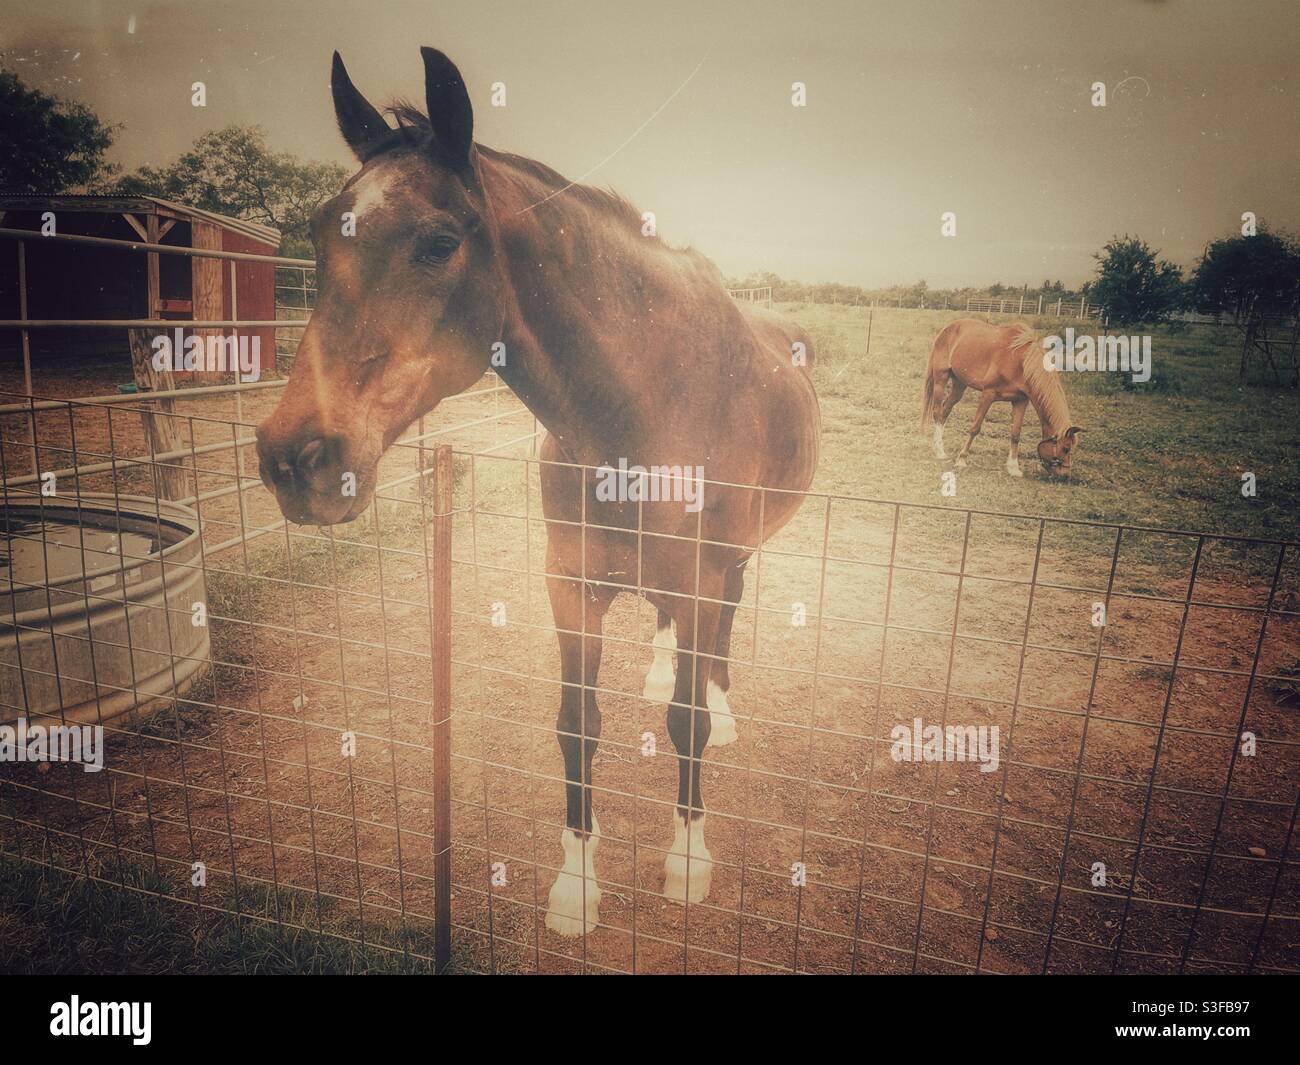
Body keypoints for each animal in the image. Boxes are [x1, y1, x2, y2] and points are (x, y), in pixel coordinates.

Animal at [254, 48, 821, 936]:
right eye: (317, 229)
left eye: (439, 241)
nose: (295, 456)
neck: (642, 409)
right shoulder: (571, 585)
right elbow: (577, 727)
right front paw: (576, 885)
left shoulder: (697, 576)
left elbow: (686, 721)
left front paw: (688, 859)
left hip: (733, 557)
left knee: (726, 617)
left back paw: (721, 705)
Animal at [921, 318, 1083, 477]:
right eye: (1066, 448)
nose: (1065, 475)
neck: (1020, 361)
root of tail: (948, 327)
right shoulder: (988, 394)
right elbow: (975, 428)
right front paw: (961, 459)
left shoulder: (1020, 401)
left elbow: (1015, 434)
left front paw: (1013, 468)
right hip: (941, 379)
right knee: (937, 412)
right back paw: (940, 452)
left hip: (959, 385)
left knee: (944, 412)